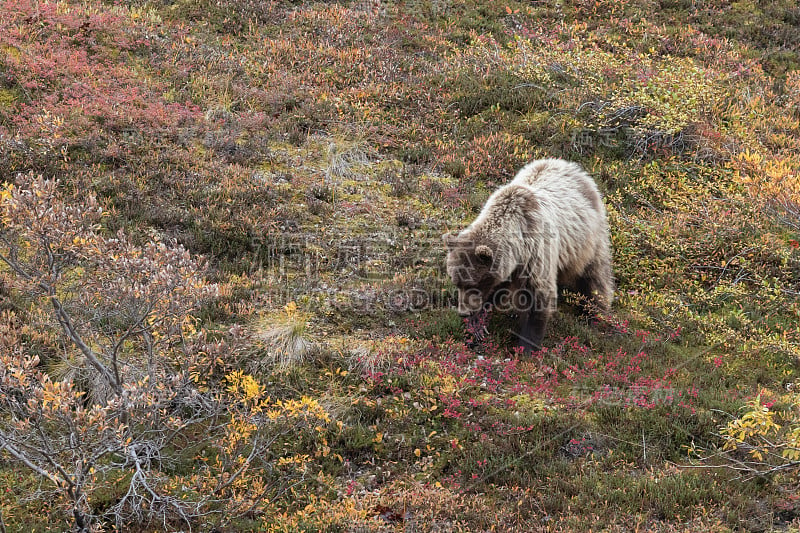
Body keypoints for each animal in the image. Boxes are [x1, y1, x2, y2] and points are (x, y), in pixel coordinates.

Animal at [444, 156, 612, 352]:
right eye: (456, 282)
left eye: (473, 284)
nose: (463, 313)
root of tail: (572, 167)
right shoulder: (508, 268)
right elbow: (497, 290)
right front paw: (477, 326)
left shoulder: (536, 252)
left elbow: (538, 299)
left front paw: (526, 347)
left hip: (588, 241)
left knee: (595, 276)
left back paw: (594, 315)